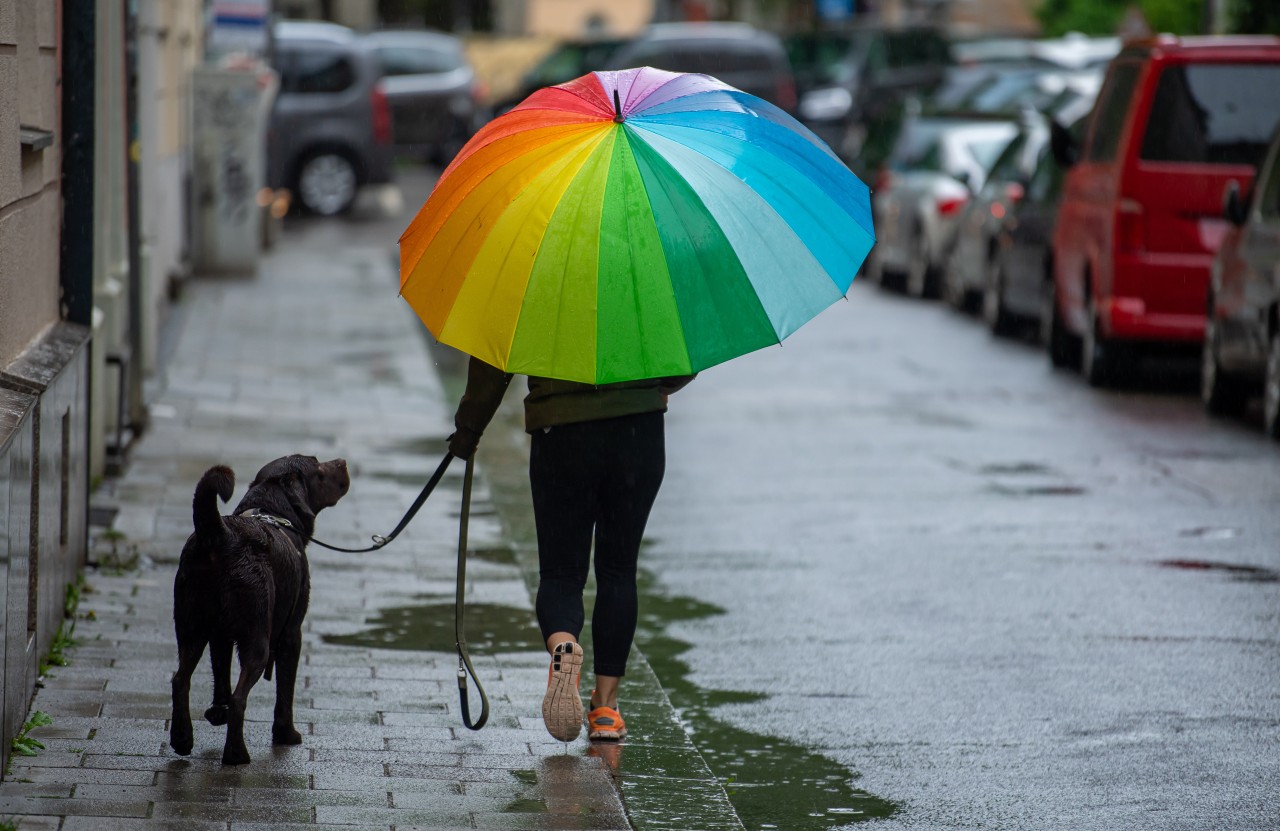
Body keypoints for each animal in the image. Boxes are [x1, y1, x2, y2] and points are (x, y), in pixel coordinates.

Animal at [170, 453, 353, 763]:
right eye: (317, 465)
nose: (342, 461)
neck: (272, 510)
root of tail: (219, 535)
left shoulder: (221, 635)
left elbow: (221, 673)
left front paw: (217, 713)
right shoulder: (291, 632)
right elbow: (285, 689)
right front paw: (286, 733)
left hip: (191, 628)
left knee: (180, 680)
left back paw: (182, 739)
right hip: (257, 639)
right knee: (239, 696)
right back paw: (236, 754)